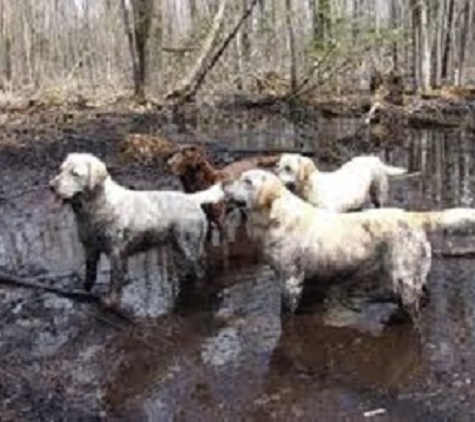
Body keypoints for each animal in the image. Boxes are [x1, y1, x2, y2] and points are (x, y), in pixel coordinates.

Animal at [49, 152, 224, 306]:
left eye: (75, 173)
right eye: (60, 169)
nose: (51, 186)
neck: (97, 205)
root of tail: (192, 198)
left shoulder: (116, 252)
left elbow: (115, 279)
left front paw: (111, 301)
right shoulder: (90, 248)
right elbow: (90, 273)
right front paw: (85, 290)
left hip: (189, 244)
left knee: (200, 267)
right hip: (178, 246)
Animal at [221, 168, 434, 320]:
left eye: (247, 181)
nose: (222, 183)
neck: (275, 217)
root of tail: (414, 217)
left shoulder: (291, 280)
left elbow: (287, 312)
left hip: (405, 276)